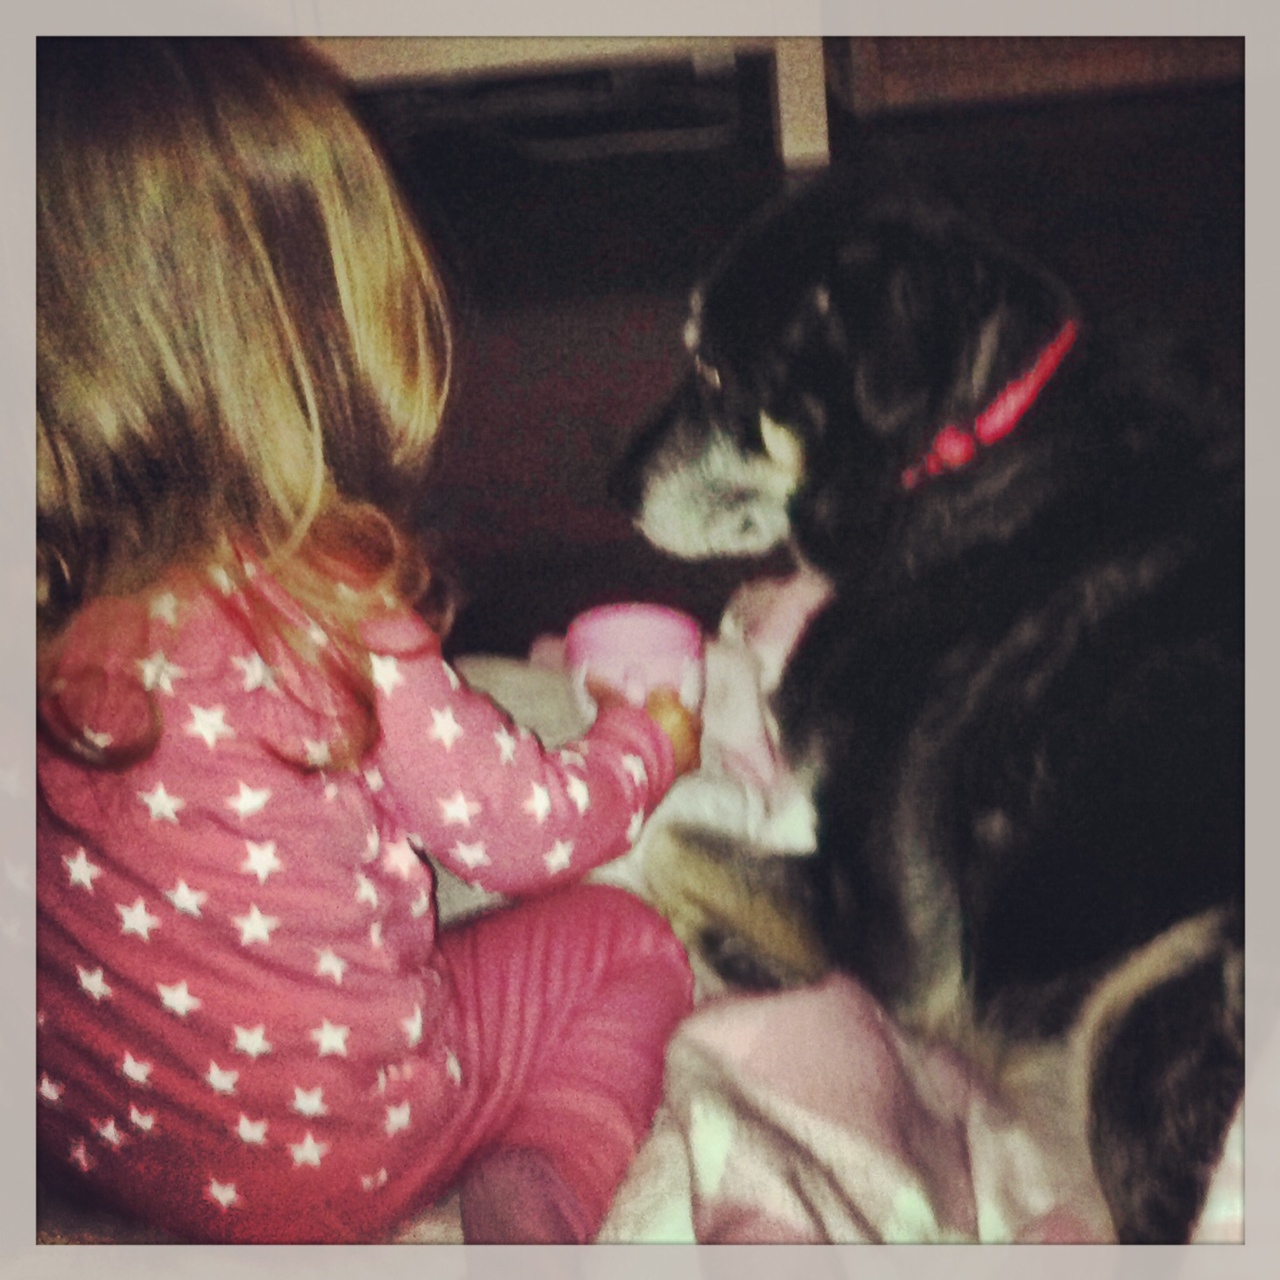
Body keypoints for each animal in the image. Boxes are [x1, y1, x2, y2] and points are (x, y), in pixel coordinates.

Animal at [610, 167, 1244, 1242]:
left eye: (719, 375)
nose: (614, 490)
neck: (969, 450)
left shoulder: (903, 942)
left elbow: (667, 833)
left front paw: (735, 952)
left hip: (1154, 990)